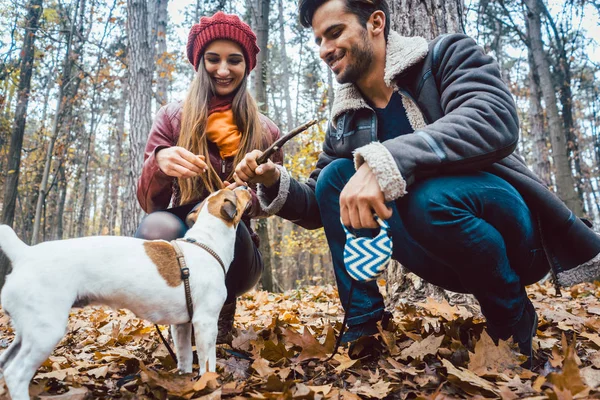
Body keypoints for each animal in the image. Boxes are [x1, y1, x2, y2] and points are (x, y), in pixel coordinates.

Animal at [0, 186, 251, 398]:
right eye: (235, 191)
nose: (247, 186)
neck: (206, 244)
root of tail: (25, 254)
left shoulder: (182, 325)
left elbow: (185, 358)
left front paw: (185, 382)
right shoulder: (205, 322)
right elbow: (208, 362)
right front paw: (210, 384)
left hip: (29, 331)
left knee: (5, 362)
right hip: (46, 331)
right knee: (16, 374)